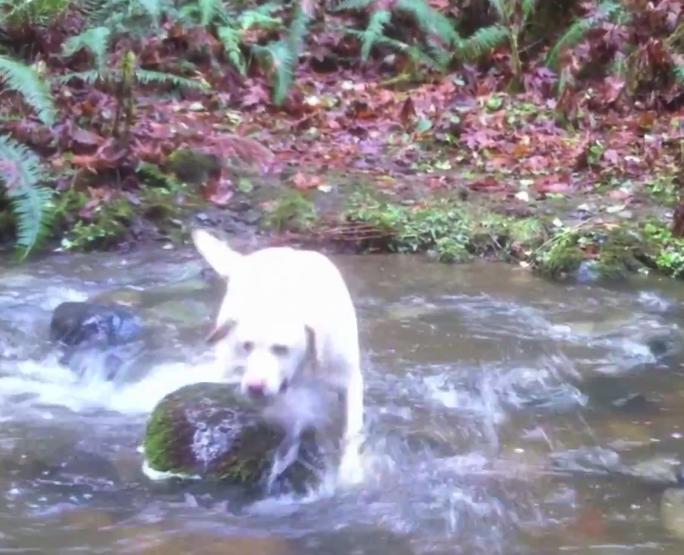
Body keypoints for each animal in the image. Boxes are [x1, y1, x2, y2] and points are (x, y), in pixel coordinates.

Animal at [190, 228, 366, 484]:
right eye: (247, 346)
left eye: (281, 348)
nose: (254, 387)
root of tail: (247, 261)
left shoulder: (349, 380)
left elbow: (352, 432)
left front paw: (350, 470)